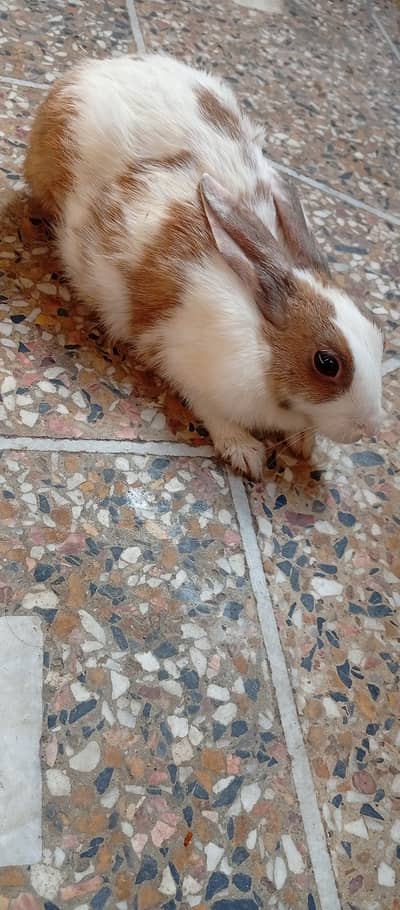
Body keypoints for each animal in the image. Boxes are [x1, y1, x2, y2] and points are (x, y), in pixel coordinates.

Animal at [24, 53, 384, 480]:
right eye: (327, 363)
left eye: (380, 336)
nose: (368, 428)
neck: (260, 339)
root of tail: (88, 70)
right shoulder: (185, 366)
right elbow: (213, 414)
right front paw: (246, 453)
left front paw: (306, 446)